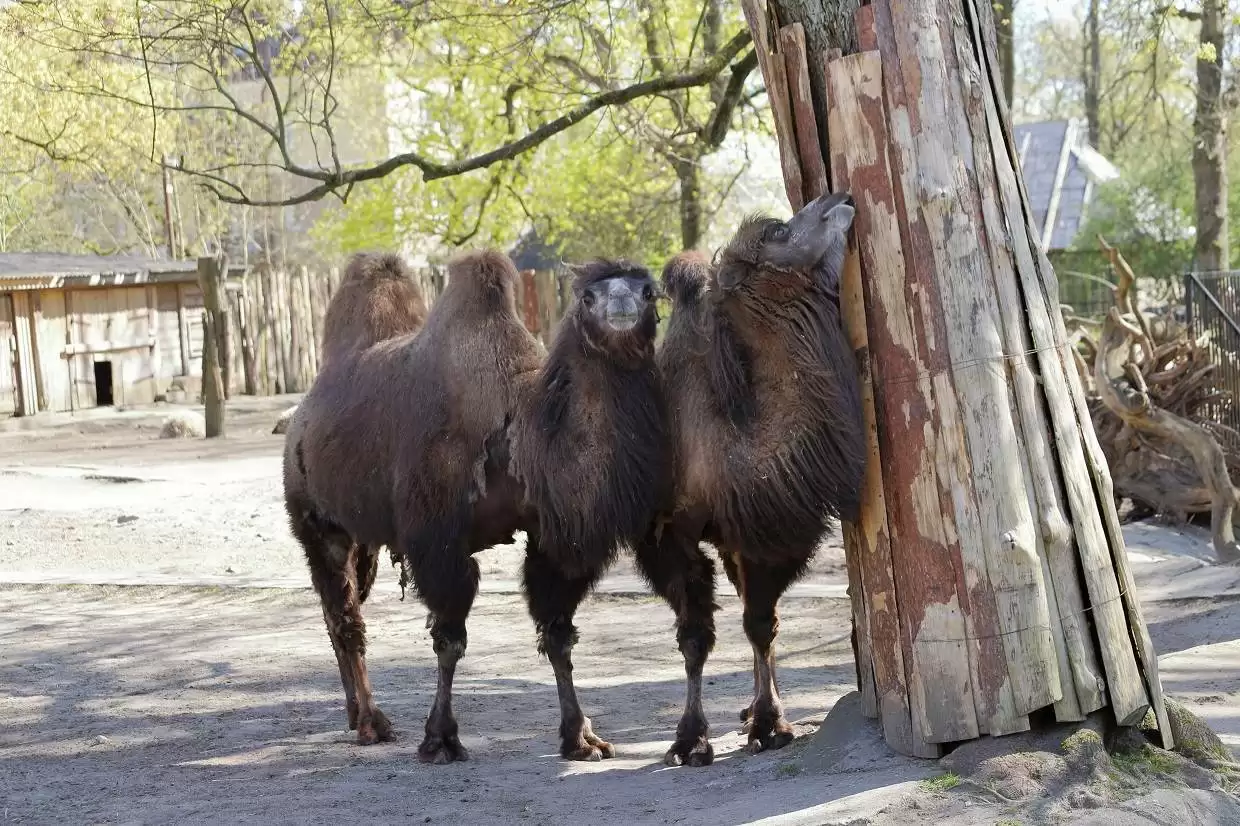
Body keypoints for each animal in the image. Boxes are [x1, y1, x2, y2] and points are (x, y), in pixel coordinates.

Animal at [283, 249, 669, 759]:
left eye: (649, 291)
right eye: (587, 296)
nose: (621, 307)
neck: (521, 431)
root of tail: (301, 418)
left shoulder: (550, 537)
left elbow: (559, 635)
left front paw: (581, 736)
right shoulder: (438, 540)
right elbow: (449, 641)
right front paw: (441, 738)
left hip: (360, 535)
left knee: (339, 612)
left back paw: (354, 714)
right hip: (315, 519)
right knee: (345, 618)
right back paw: (372, 723)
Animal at [639, 189, 863, 763]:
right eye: (780, 230)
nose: (840, 196)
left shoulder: (771, 532)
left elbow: (761, 624)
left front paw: (769, 724)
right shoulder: (668, 536)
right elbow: (694, 637)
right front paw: (688, 740)